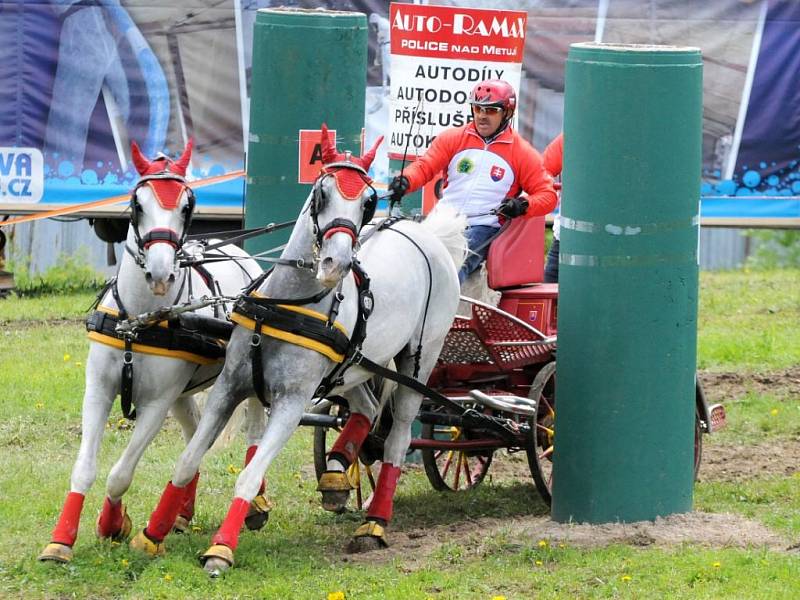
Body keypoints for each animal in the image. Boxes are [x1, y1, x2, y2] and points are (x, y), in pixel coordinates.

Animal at [39, 139, 270, 564]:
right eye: (137, 203)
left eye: (187, 205)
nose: (161, 273)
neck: (140, 320)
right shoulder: (98, 390)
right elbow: (85, 467)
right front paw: (61, 540)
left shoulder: (156, 403)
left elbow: (120, 473)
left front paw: (113, 524)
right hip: (182, 394)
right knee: (196, 436)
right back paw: (181, 513)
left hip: (248, 376)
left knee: (254, 432)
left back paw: (256, 505)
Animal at [130, 125, 468, 572]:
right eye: (322, 193)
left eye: (367, 200)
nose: (335, 264)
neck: (289, 304)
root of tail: (425, 234)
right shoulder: (229, 388)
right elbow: (187, 460)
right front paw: (152, 534)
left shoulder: (291, 403)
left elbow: (249, 475)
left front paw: (221, 548)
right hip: (356, 365)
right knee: (366, 408)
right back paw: (337, 474)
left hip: (418, 361)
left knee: (397, 438)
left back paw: (375, 522)